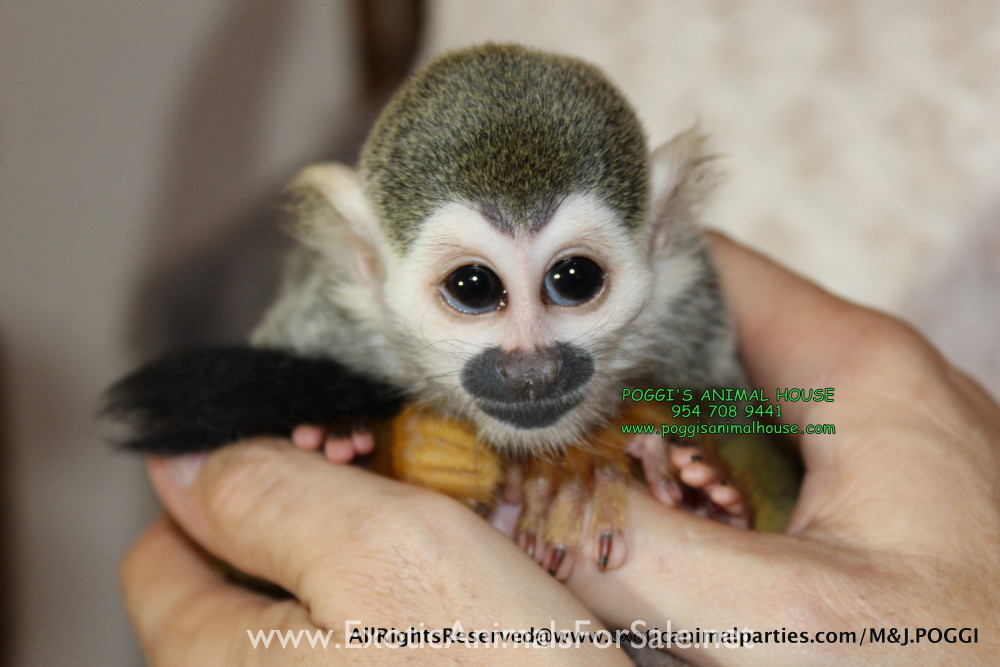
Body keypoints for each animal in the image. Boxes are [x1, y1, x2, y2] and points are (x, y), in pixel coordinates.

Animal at [106, 43, 798, 581]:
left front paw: (695, 485)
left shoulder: (695, 314)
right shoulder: (322, 318)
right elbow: (229, 569)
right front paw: (397, 450)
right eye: (473, 287)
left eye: (574, 279)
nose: (532, 369)